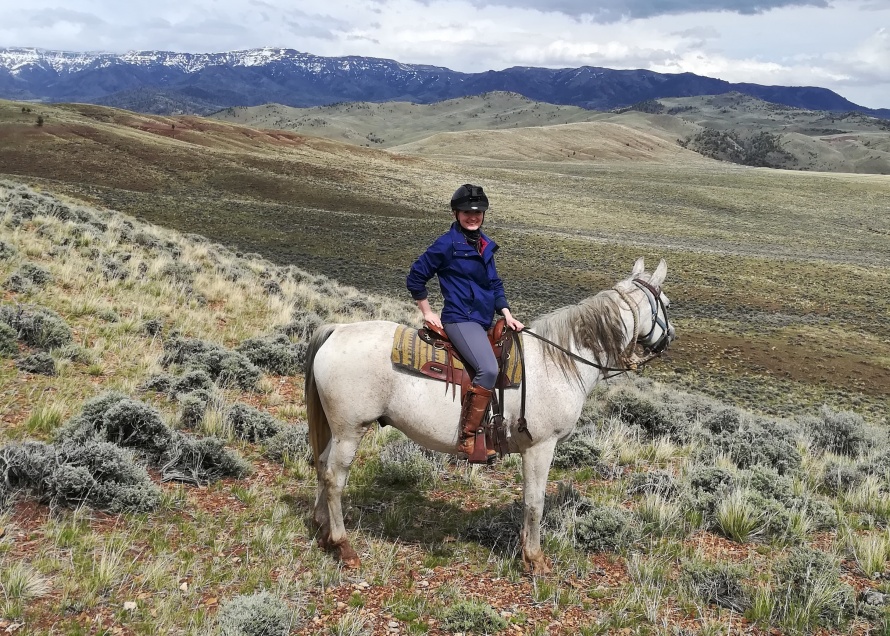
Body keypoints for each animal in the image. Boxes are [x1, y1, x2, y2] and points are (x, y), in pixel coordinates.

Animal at [306, 256, 672, 572]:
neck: (558, 361)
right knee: (335, 478)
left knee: (322, 466)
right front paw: (535, 559)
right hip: (351, 430)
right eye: (667, 305)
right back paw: (343, 546)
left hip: (339, 430)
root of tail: (337, 330)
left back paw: (323, 530)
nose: (670, 338)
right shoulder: (540, 447)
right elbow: (534, 502)